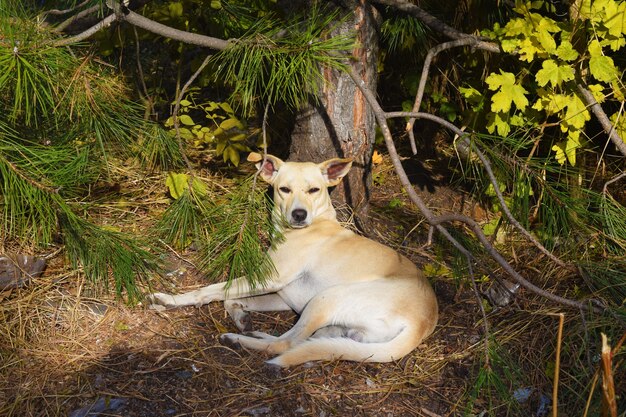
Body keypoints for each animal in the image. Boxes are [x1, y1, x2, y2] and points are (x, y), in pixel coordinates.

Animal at [149, 154, 436, 366]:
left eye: (314, 190)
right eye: (284, 189)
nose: (299, 214)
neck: (315, 223)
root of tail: (422, 323)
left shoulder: (270, 278)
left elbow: (213, 290)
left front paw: (171, 300)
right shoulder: (282, 294)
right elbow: (231, 297)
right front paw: (241, 316)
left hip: (326, 298)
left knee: (284, 344)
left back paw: (237, 340)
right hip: (336, 323)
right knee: (303, 340)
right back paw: (254, 333)